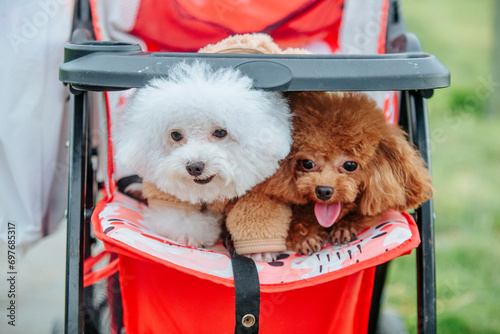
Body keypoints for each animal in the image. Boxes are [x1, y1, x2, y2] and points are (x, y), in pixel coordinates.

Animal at [113, 61, 292, 247]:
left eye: (220, 132)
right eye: (175, 135)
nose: (194, 167)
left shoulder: (255, 190)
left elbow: (254, 213)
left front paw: (263, 249)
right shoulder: (168, 193)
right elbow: (179, 216)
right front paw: (191, 235)